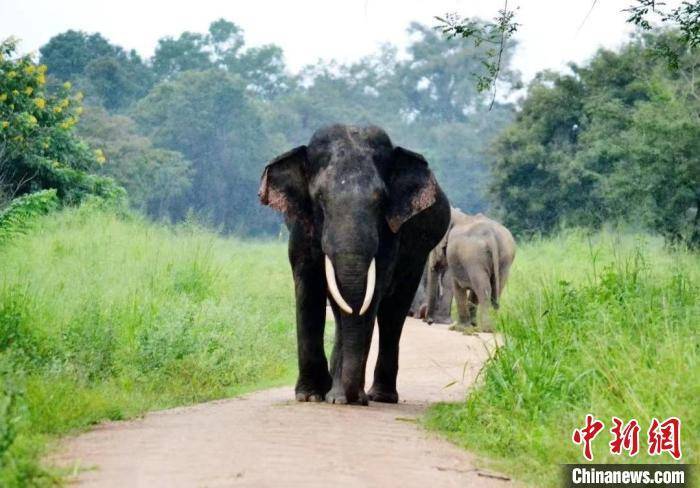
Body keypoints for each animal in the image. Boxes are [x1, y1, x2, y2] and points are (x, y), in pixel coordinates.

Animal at [258, 124, 448, 406]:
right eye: (320, 198)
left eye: (380, 200)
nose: (346, 397)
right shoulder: (302, 227)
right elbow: (309, 288)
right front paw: (310, 396)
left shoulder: (390, 233)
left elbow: (371, 293)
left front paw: (345, 398)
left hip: (419, 254)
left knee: (392, 313)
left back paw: (379, 396)